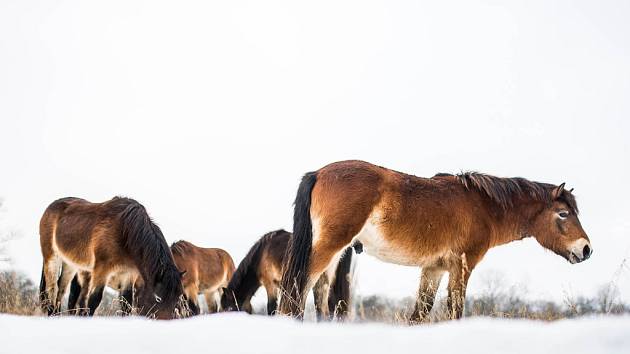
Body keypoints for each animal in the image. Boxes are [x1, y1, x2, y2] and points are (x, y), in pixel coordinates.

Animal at [39, 196, 185, 318]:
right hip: (52, 258)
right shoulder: (101, 271)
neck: (125, 232)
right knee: (52, 289)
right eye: (158, 298)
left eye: (177, 298)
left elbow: (126, 304)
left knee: (62, 291)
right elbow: (93, 301)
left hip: (71, 265)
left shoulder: (128, 274)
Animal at [278, 160, 596, 320]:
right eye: (564, 213)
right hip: (328, 248)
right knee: (297, 290)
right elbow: (455, 310)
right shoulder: (461, 267)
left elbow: (420, 314)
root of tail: (319, 173)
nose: (586, 249)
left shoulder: (434, 269)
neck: (482, 206)